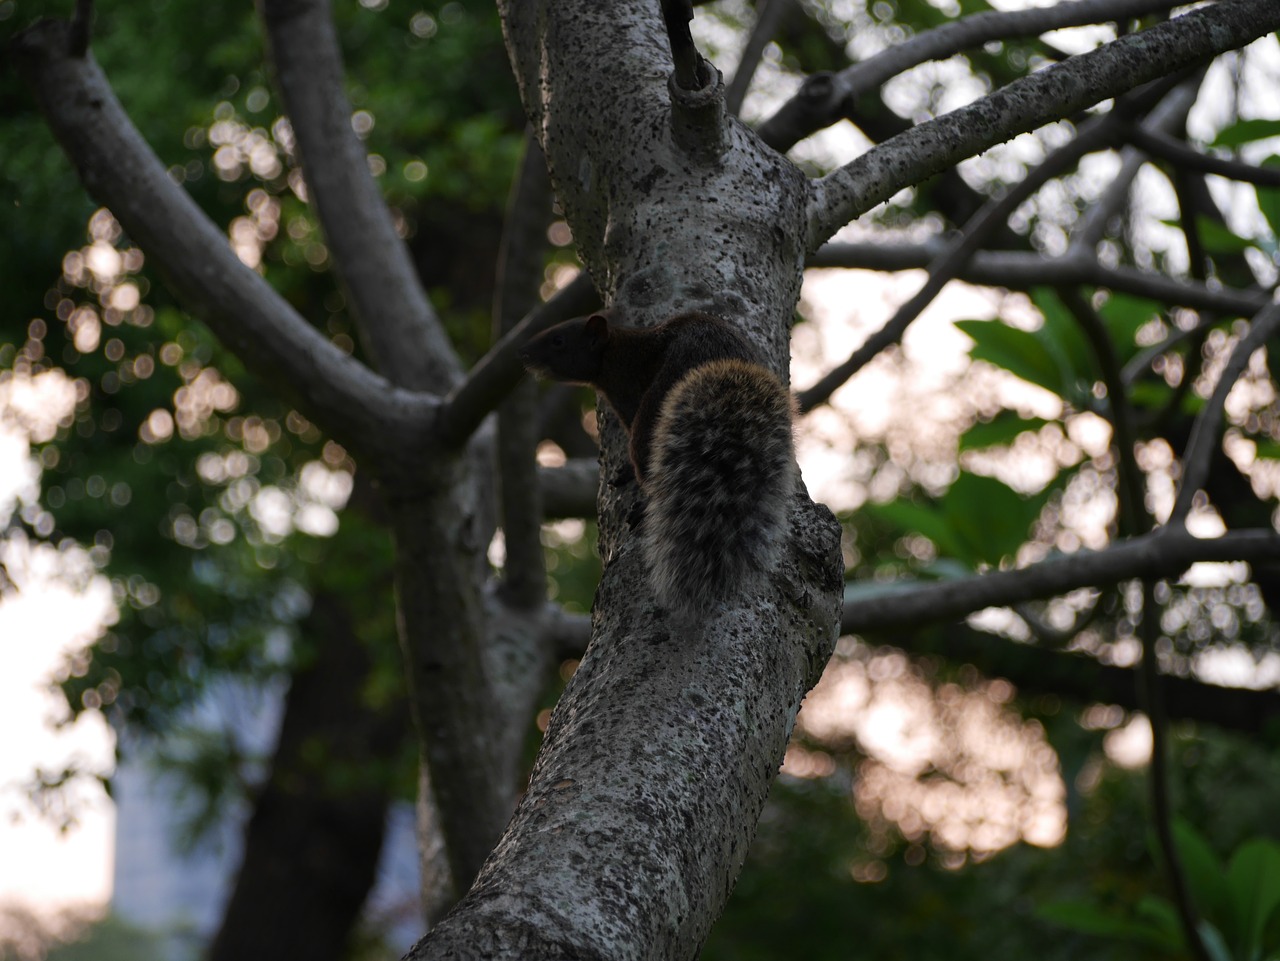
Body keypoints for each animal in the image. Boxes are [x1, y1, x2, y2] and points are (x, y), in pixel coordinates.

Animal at [517, 309, 793, 624]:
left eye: (558, 340)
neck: (615, 350)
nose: (523, 353)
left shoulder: (626, 394)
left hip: (651, 413)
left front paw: (626, 473)